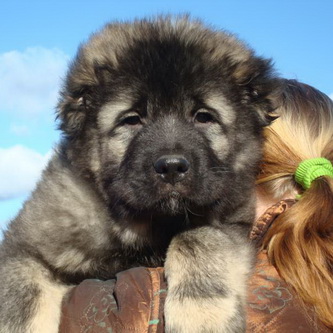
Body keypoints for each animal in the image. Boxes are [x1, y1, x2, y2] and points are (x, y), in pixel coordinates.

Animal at [0, 16, 280, 330]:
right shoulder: (23, 247)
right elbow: (20, 302)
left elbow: (198, 238)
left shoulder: (232, 220)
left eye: (203, 117)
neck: (145, 224)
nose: (172, 167)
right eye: (132, 120)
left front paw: (202, 312)